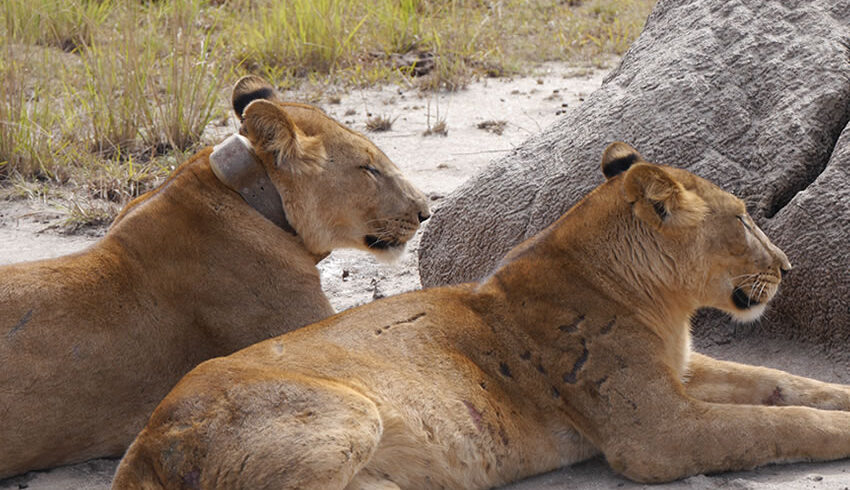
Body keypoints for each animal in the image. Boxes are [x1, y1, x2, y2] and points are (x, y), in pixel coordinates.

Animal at [113, 142, 850, 489]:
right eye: (743, 219)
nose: (789, 268)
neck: (658, 301)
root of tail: (148, 442)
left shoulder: (684, 374)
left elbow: (786, 385)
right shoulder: (653, 434)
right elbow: (774, 425)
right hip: (346, 413)